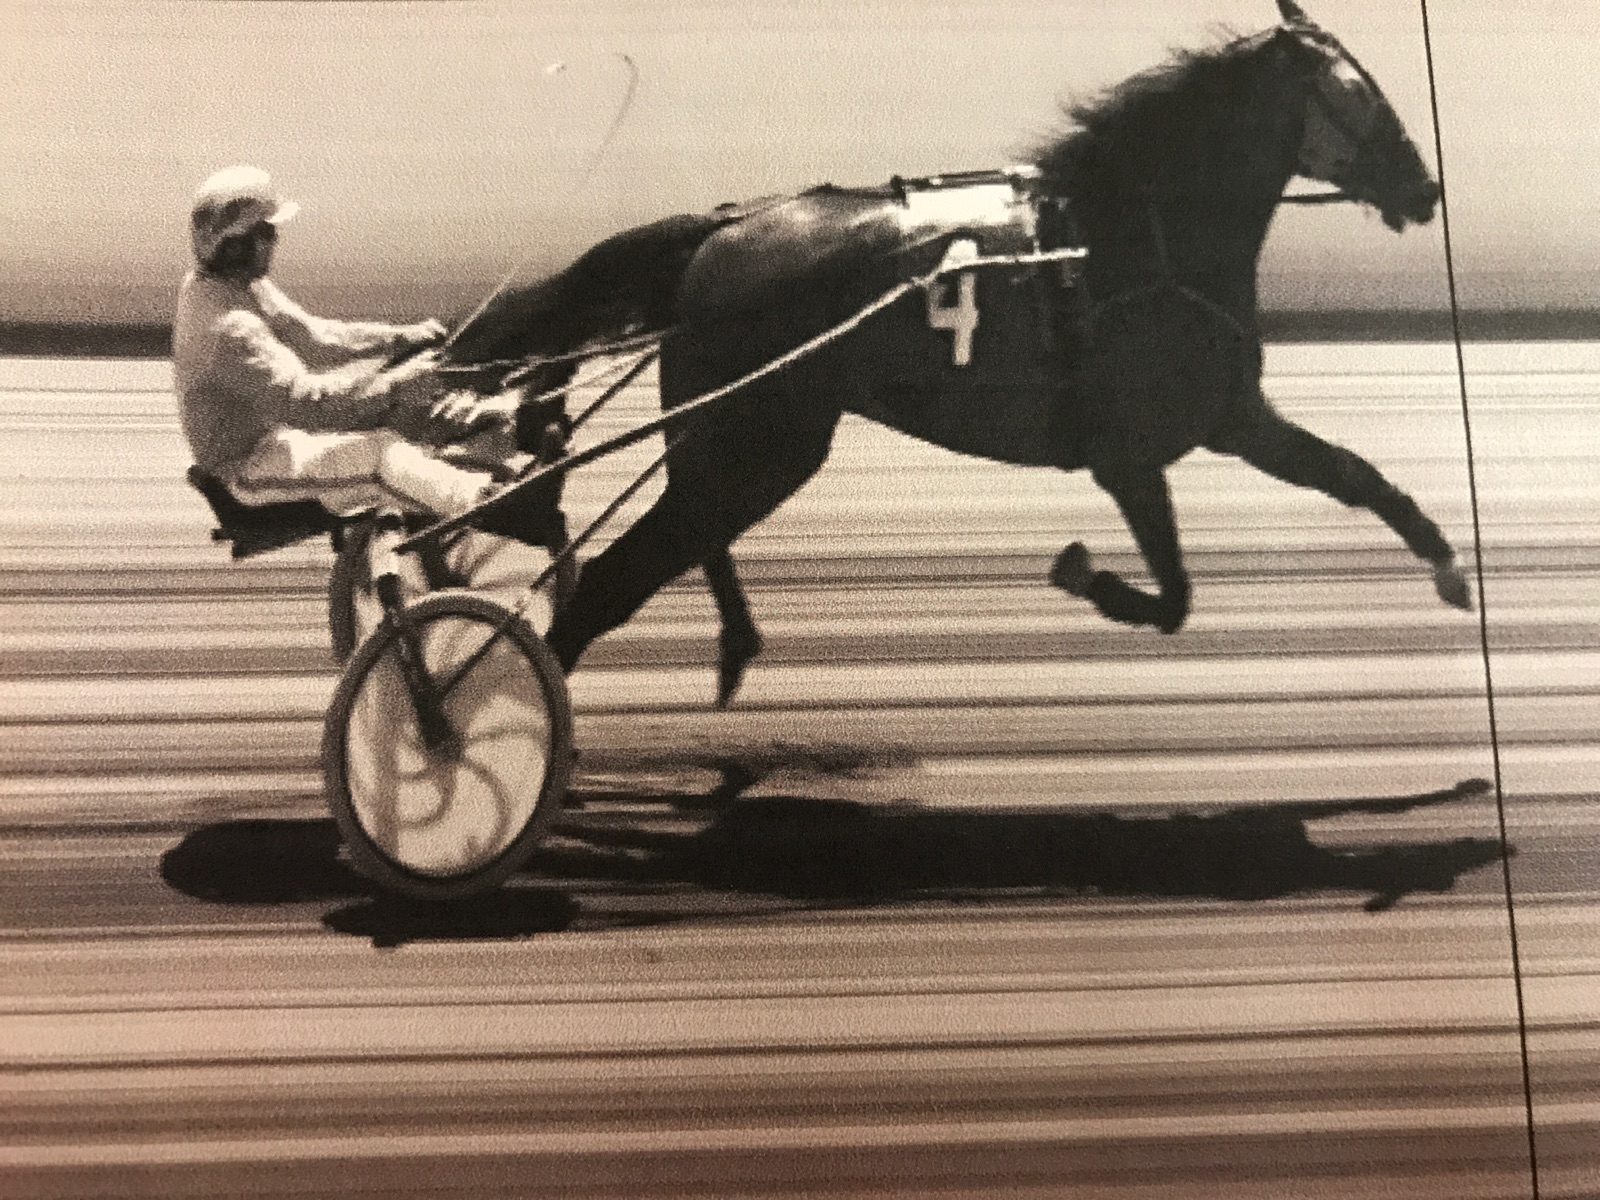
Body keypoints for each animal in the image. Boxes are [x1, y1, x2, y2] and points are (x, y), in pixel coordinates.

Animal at [444, 0, 1465, 710]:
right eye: (1361, 94)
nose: (1426, 187)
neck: (1134, 247)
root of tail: (719, 233)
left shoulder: (1234, 419)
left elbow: (1358, 477)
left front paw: (1450, 567)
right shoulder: (1127, 458)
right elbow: (1173, 595)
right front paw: (1084, 574)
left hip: (738, 449)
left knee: (678, 543)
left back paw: (726, 646)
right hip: (759, 444)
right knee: (613, 582)